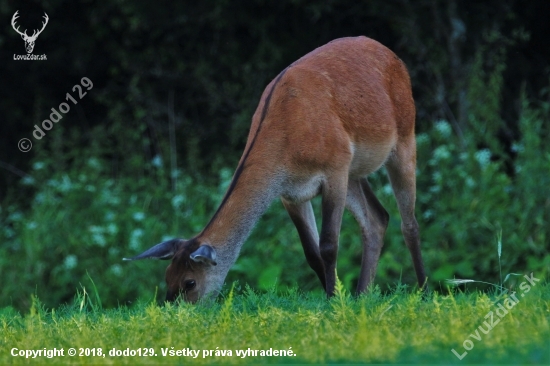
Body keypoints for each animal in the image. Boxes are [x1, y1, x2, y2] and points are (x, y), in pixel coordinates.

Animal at [126, 35, 432, 304]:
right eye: (167, 277)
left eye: (190, 282)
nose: (173, 310)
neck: (288, 147)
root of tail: (391, 54)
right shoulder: (290, 193)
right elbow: (311, 252)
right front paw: (333, 296)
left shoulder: (334, 168)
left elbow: (328, 245)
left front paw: (333, 302)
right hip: (354, 171)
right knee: (377, 217)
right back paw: (362, 295)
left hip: (404, 137)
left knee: (410, 223)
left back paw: (424, 291)